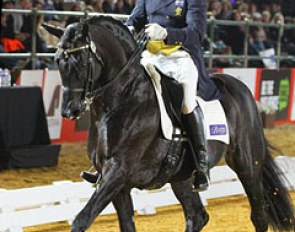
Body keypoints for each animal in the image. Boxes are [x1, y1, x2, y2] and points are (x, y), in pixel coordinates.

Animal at [44, 16, 295, 232]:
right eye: (57, 60)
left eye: (79, 61)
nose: (69, 111)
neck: (122, 99)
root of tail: (240, 87)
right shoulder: (117, 184)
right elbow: (126, 225)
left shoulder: (117, 173)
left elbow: (81, 220)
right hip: (181, 176)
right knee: (197, 215)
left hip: (247, 164)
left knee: (258, 215)